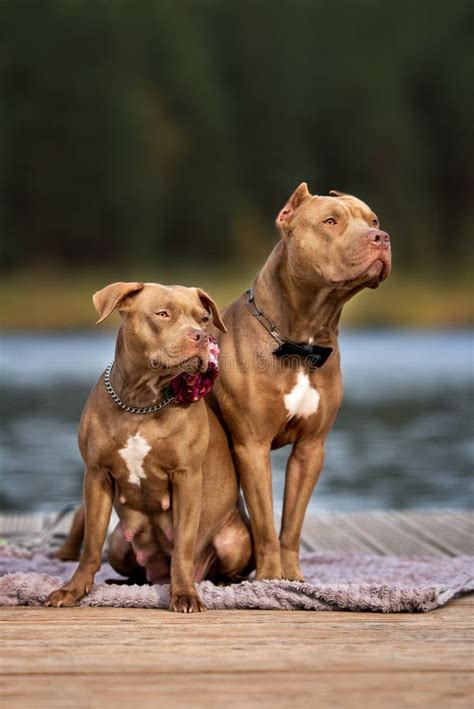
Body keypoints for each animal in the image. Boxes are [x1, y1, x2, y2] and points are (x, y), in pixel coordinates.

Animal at [46, 280, 254, 612]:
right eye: (163, 314)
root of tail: (158, 577)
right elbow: (91, 545)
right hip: (119, 543)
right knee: (132, 569)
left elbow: (183, 545)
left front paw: (185, 595)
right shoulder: (97, 475)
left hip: (233, 541)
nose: (201, 336)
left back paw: (220, 583)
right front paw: (73, 590)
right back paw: (122, 583)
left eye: (203, 318)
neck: (141, 401)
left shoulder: (186, 478)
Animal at [209, 183, 390, 580]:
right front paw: (268, 579)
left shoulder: (310, 449)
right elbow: (265, 523)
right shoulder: (252, 447)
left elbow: (291, 523)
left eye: (373, 221)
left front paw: (292, 577)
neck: (301, 338)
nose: (381, 237)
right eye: (331, 221)